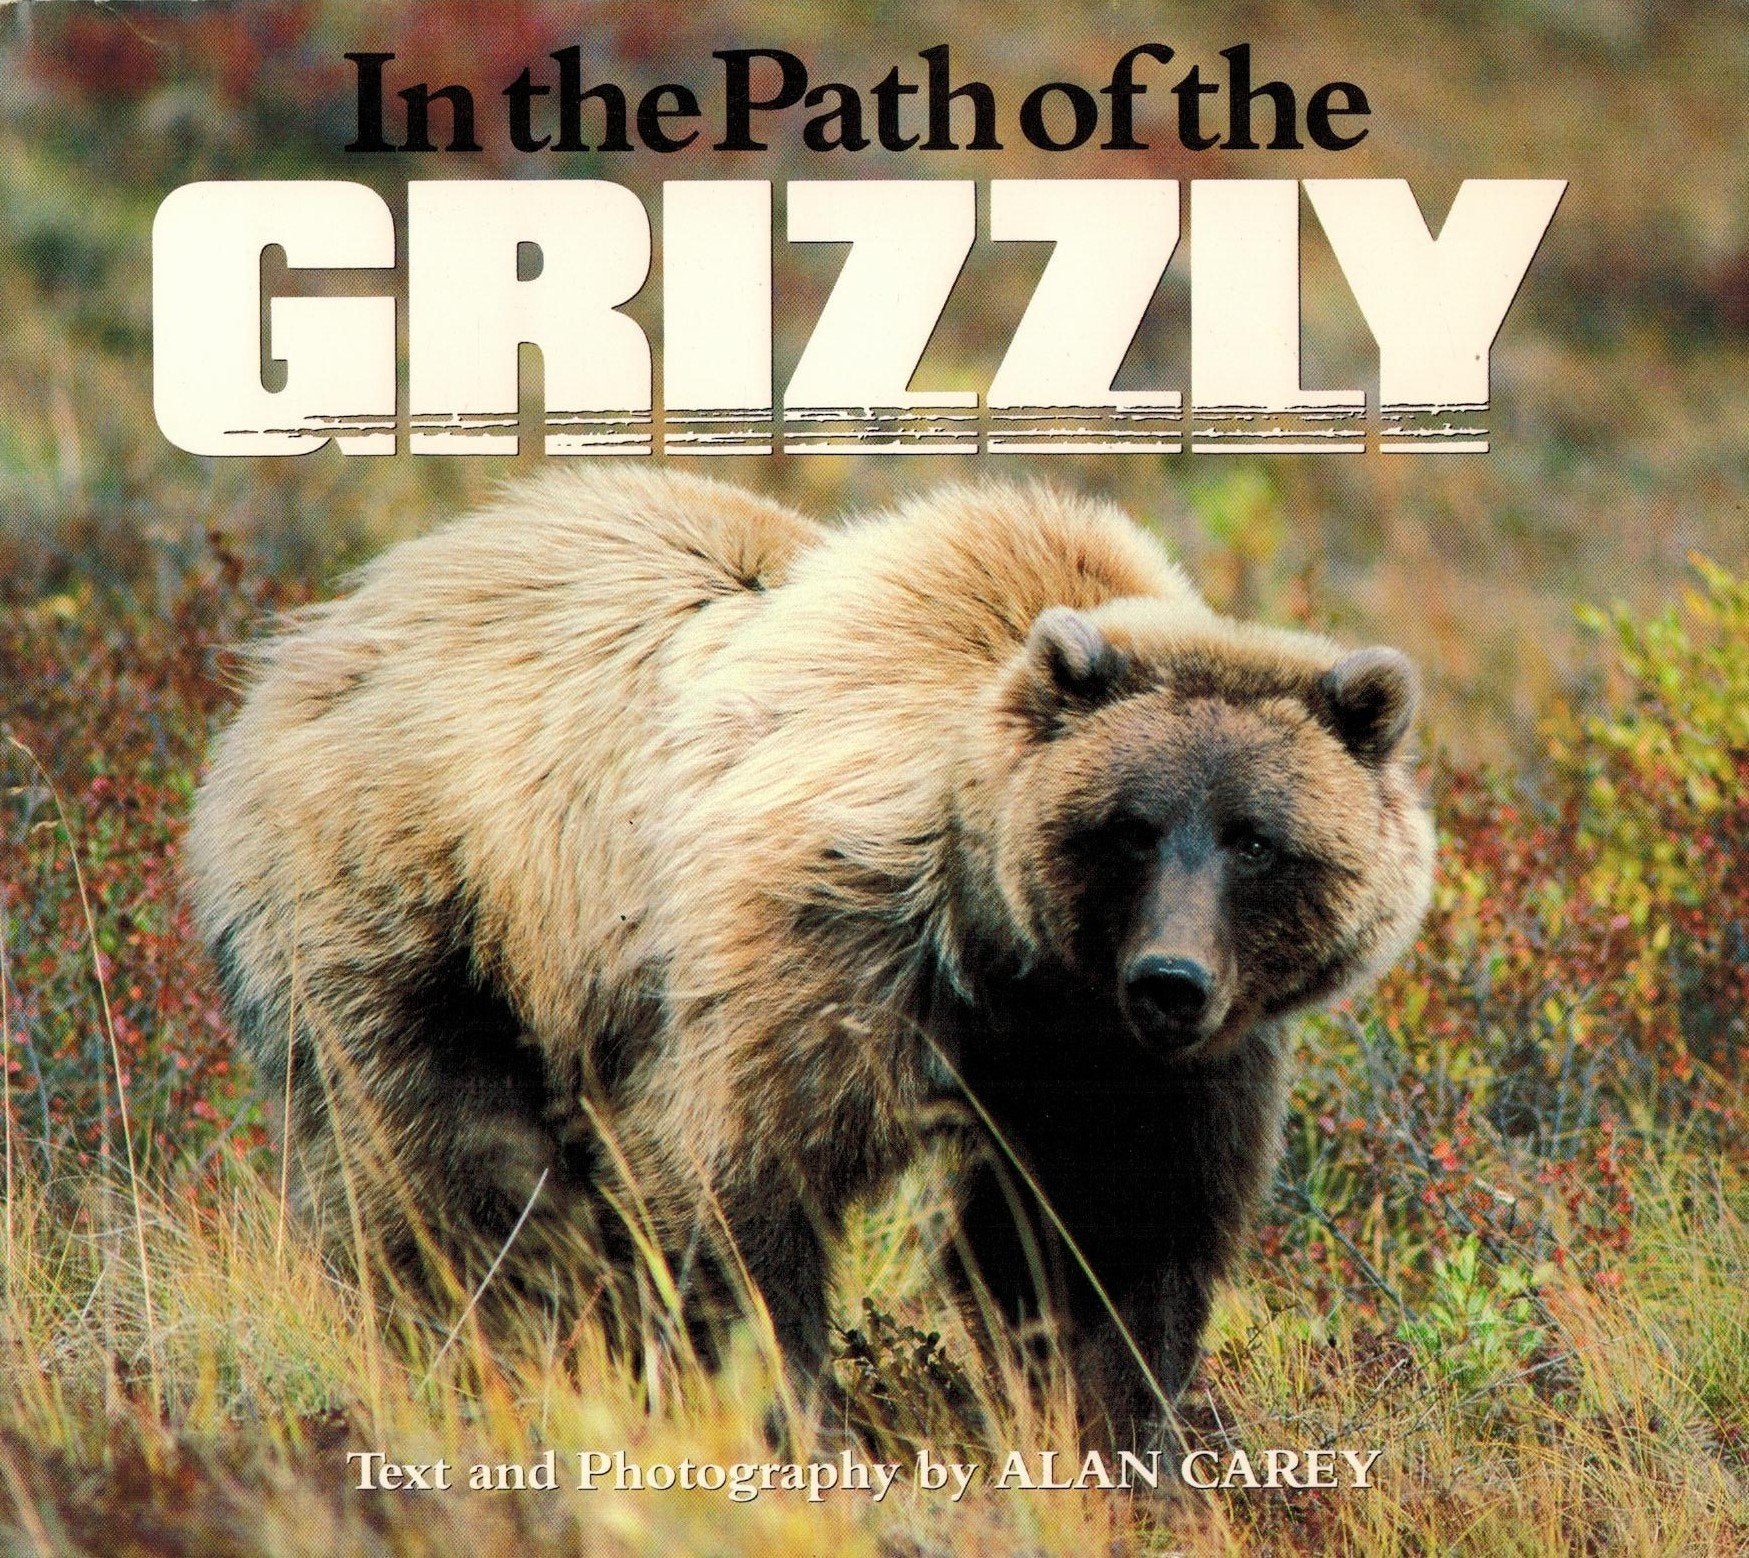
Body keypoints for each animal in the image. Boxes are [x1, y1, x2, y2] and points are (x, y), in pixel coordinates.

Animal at [186, 466, 1434, 1447]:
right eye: (1129, 825)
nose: (1171, 981)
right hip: (408, 903)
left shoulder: (1136, 1066)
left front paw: (1122, 1434)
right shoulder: (828, 943)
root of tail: (313, 635)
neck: (1014, 957)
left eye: (1257, 839)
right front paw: (801, 1420)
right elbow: (745, 1182)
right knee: (441, 1166)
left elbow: (1111, 1233)